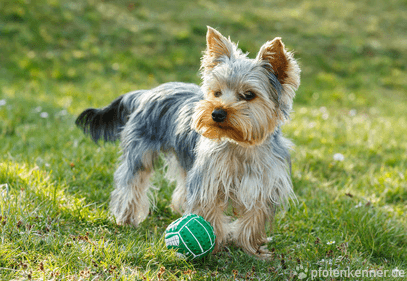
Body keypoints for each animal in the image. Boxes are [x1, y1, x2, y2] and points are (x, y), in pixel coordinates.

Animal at [76, 26, 300, 258]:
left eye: (249, 95)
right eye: (217, 92)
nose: (217, 113)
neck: (240, 144)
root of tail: (146, 93)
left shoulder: (263, 183)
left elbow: (254, 217)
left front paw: (252, 249)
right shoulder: (209, 180)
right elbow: (208, 211)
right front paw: (214, 247)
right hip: (140, 151)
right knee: (132, 180)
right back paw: (126, 218)